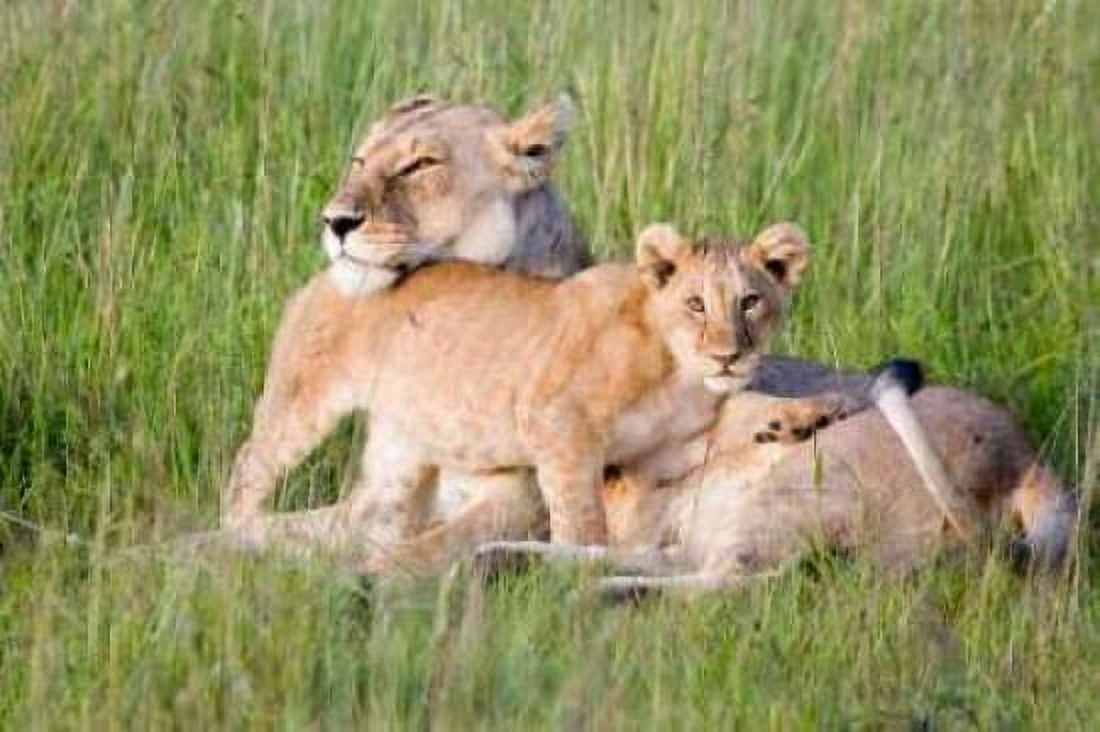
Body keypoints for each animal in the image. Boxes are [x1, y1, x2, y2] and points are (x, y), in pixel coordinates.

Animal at [221, 222, 820, 549]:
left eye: (750, 301)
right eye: (696, 304)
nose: (729, 354)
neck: (681, 375)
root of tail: (332, 273)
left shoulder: (665, 450)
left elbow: (750, 409)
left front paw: (806, 414)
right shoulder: (556, 422)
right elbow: (579, 514)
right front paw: (580, 566)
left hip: (401, 442)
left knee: (375, 515)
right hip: (303, 400)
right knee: (249, 465)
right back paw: (239, 536)